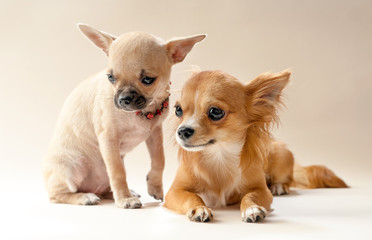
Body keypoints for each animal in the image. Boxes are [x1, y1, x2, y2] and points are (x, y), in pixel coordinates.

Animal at [43, 23, 206, 209]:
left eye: (148, 80)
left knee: (105, 188)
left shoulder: (154, 133)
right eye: (110, 78)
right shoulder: (109, 138)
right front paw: (125, 199)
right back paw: (85, 197)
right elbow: (117, 172)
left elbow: (159, 159)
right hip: (73, 167)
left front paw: (155, 186)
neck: (142, 112)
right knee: (57, 195)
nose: (123, 99)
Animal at [164, 70, 348, 222]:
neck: (218, 156)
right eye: (178, 110)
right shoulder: (174, 192)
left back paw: (279, 186)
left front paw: (251, 209)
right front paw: (199, 208)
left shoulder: (261, 190)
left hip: (282, 153)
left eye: (215, 112)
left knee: (287, 179)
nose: (182, 131)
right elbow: (193, 197)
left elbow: (250, 196)